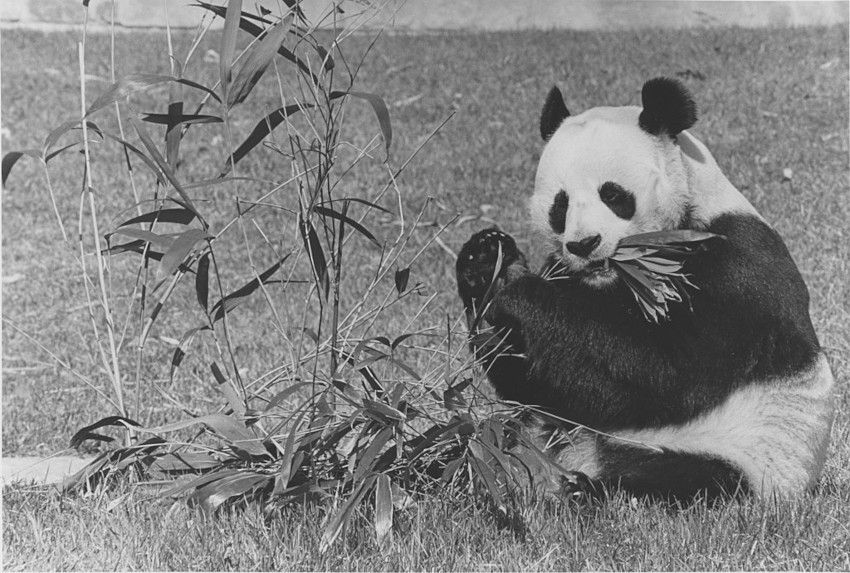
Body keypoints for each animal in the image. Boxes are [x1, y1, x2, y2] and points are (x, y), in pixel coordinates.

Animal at [458, 77, 836, 500]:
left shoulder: (737, 274)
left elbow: (664, 376)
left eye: (613, 194)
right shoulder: (565, 272)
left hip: (748, 458)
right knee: (485, 441)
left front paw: (519, 290)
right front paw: (489, 263)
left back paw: (582, 487)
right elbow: (541, 382)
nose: (584, 244)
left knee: (680, 476)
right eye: (560, 205)